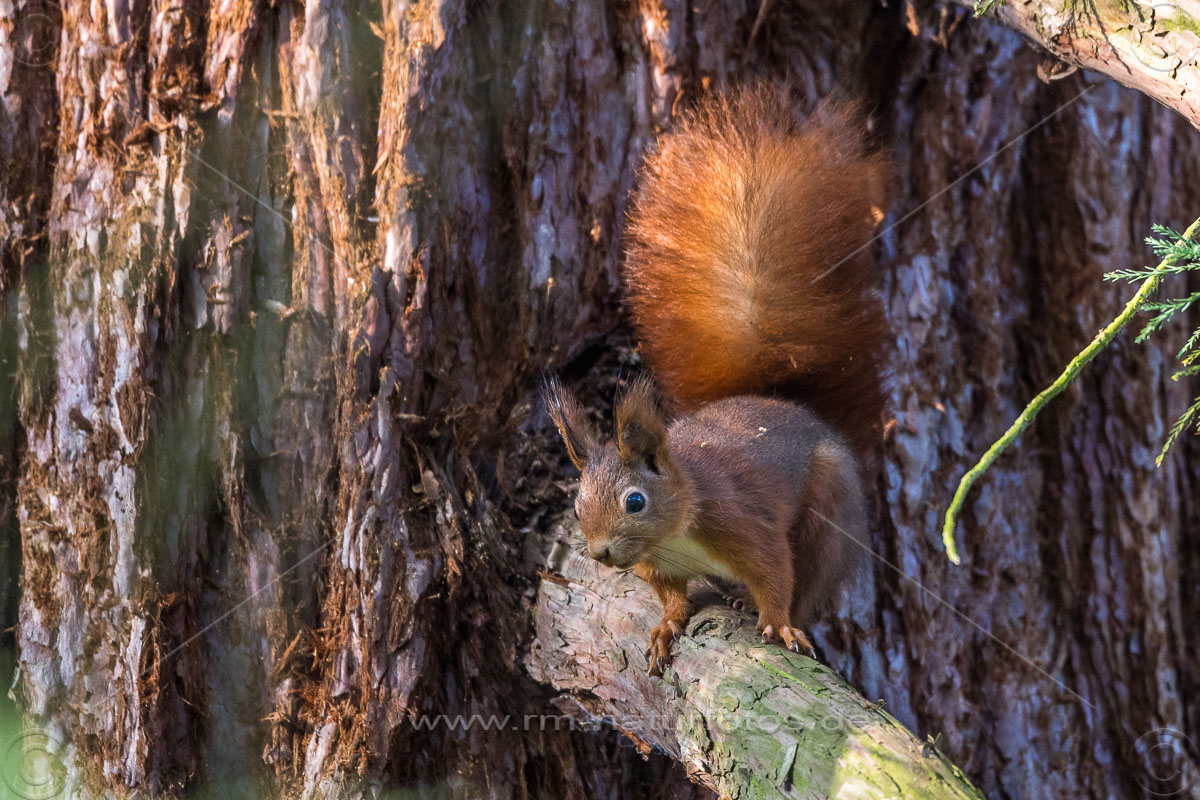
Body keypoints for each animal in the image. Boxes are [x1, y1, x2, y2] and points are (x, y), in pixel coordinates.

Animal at [544, 84, 890, 676]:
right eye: (576, 503)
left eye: (635, 501)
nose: (600, 554)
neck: (678, 531)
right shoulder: (657, 565)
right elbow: (671, 596)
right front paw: (667, 625)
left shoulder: (743, 524)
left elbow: (777, 575)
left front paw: (776, 621)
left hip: (829, 508)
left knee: (812, 577)